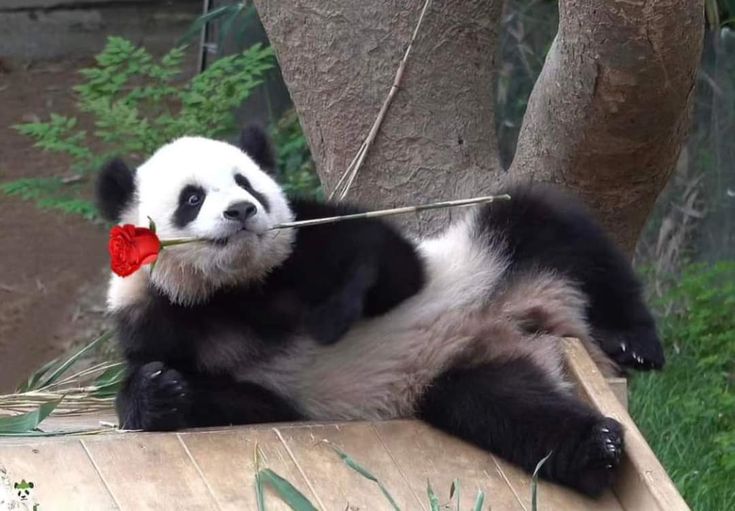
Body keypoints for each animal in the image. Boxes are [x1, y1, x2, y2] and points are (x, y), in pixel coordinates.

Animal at [96, 125, 664, 497]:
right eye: (191, 198)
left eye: (247, 183)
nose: (241, 212)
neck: (232, 291)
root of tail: (523, 319)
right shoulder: (162, 320)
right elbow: (241, 404)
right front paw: (161, 390)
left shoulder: (305, 239)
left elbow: (390, 261)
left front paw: (336, 313)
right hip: (466, 374)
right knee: (511, 409)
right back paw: (594, 450)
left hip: (485, 256)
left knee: (554, 228)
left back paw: (632, 341)